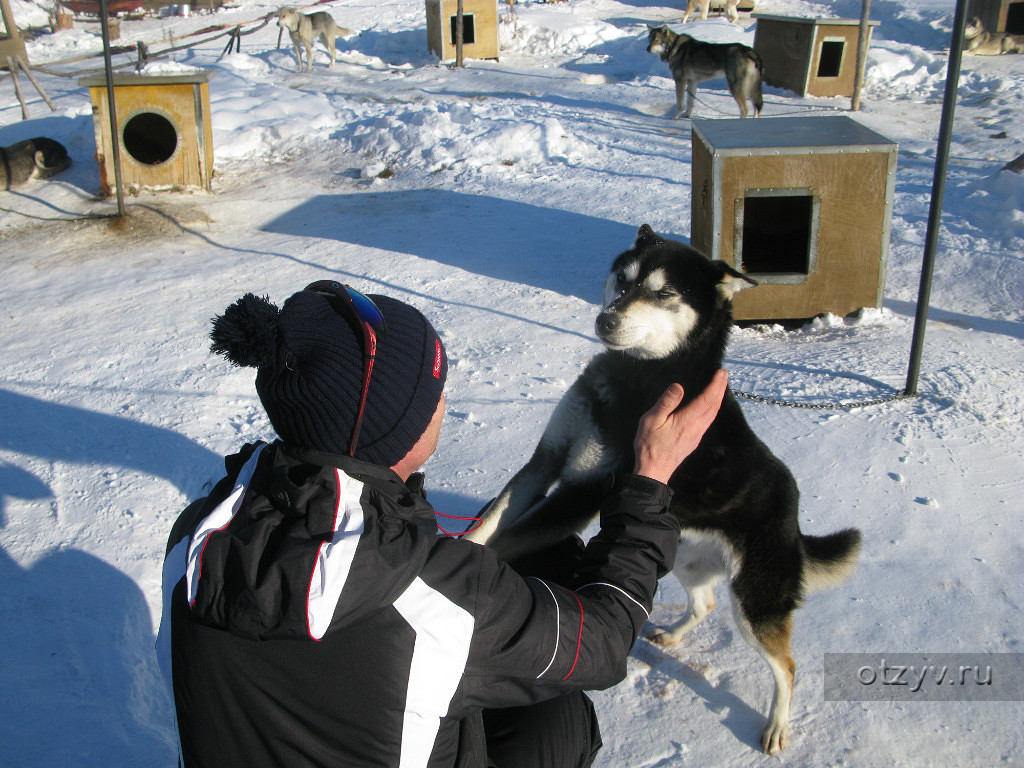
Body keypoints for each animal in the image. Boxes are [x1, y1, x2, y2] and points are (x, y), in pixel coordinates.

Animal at [468, 225, 856, 753]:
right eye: (623, 278)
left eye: (665, 293)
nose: (606, 320)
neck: (641, 378)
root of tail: (794, 517)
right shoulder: (546, 463)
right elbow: (492, 526)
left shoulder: (582, 494)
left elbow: (507, 541)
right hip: (689, 560)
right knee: (706, 602)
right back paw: (672, 635)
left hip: (754, 603)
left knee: (787, 666)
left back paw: (777, 725)